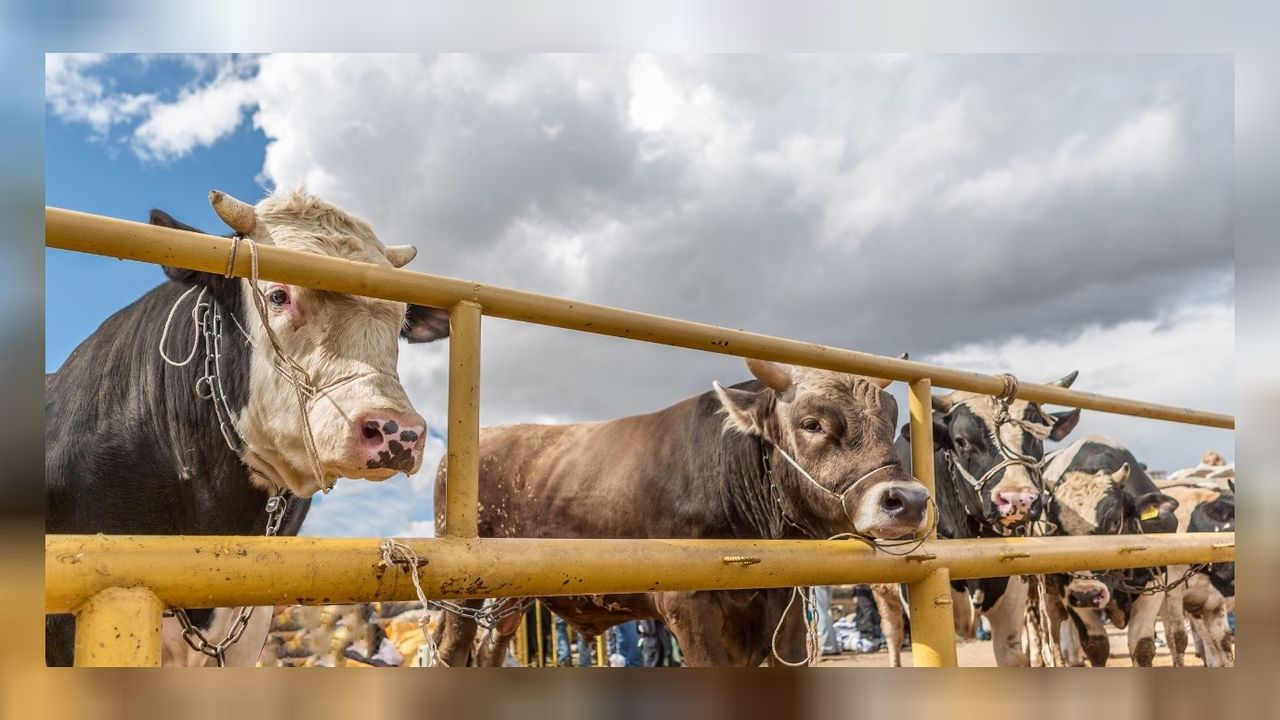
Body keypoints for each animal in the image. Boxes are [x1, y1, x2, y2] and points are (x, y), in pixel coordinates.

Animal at [432, 356, 931, 666]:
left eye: (891, 419)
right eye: (812, 423)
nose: (909, 500)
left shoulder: (784, 611)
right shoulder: (689, 607)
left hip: (509, 596)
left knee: (489, 647)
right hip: (460, 592)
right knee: (452, 649)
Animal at [870, 371, 1080, 666]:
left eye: (1037, 437)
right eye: (961, 441)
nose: (1018, 499)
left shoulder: (1012, 594)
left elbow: (1011, 652)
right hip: (883, 592)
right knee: (893, 634)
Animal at [1039, 438, 1177, 666]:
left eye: (1114, 522)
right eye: (1056, 527)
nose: (1086, 593)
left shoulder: (1154, 582)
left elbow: (1142, 646)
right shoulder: (1069, 592)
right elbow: (1096, 645)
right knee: (1055, 629)